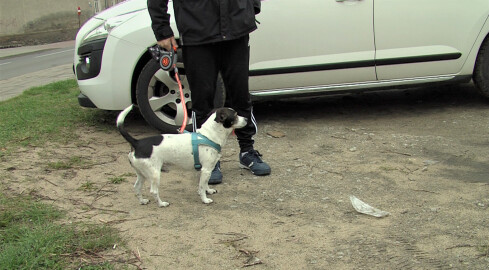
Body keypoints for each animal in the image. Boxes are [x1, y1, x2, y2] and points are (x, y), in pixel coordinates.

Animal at [116, 105, 246, 207]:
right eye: (235, 115)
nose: (246, 118)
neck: (209, 135)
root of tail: (137, 143)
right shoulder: (206, 170)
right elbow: (201, 186)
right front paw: (204, 199)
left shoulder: (207, 171)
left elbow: (205, 184)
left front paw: (208, 190)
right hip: (155, 174)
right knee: (153, 191)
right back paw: (161, 204)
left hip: (141, 173)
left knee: (137, 187)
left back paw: (142, 201)